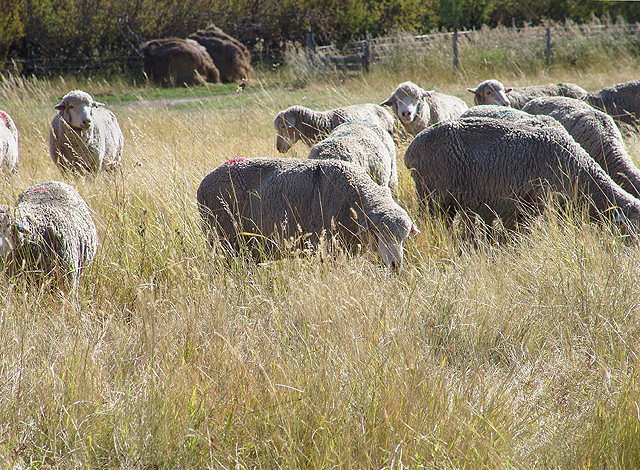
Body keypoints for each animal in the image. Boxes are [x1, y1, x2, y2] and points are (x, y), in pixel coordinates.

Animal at [197, 157, 418, 271]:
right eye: (379, 233)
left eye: (404, 238)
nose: (396, 265)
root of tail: (204, 182)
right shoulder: (322, 245)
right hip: (222, 237)